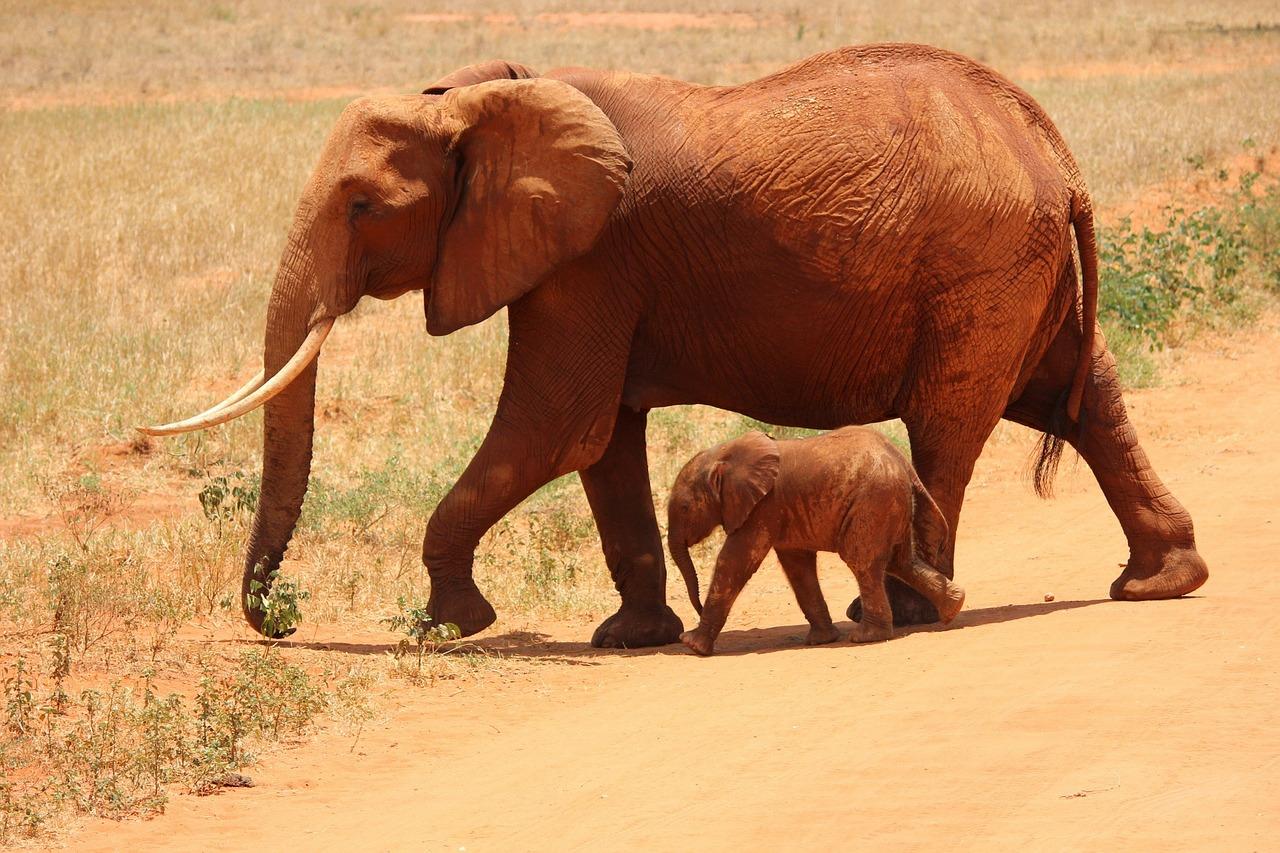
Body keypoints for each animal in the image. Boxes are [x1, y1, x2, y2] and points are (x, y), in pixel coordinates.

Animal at [670, 427, 962, 653]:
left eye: (684, 508)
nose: (696, 610)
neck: (724, 454)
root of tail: (904, 465)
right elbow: (798, 567)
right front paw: (822, 640)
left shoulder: (763, 507)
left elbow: (734, 561)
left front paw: (692, 645)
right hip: (890, 504)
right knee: (901, 562)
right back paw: (954, 608)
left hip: (873, 502)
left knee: (863, 563)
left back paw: (867, 637)